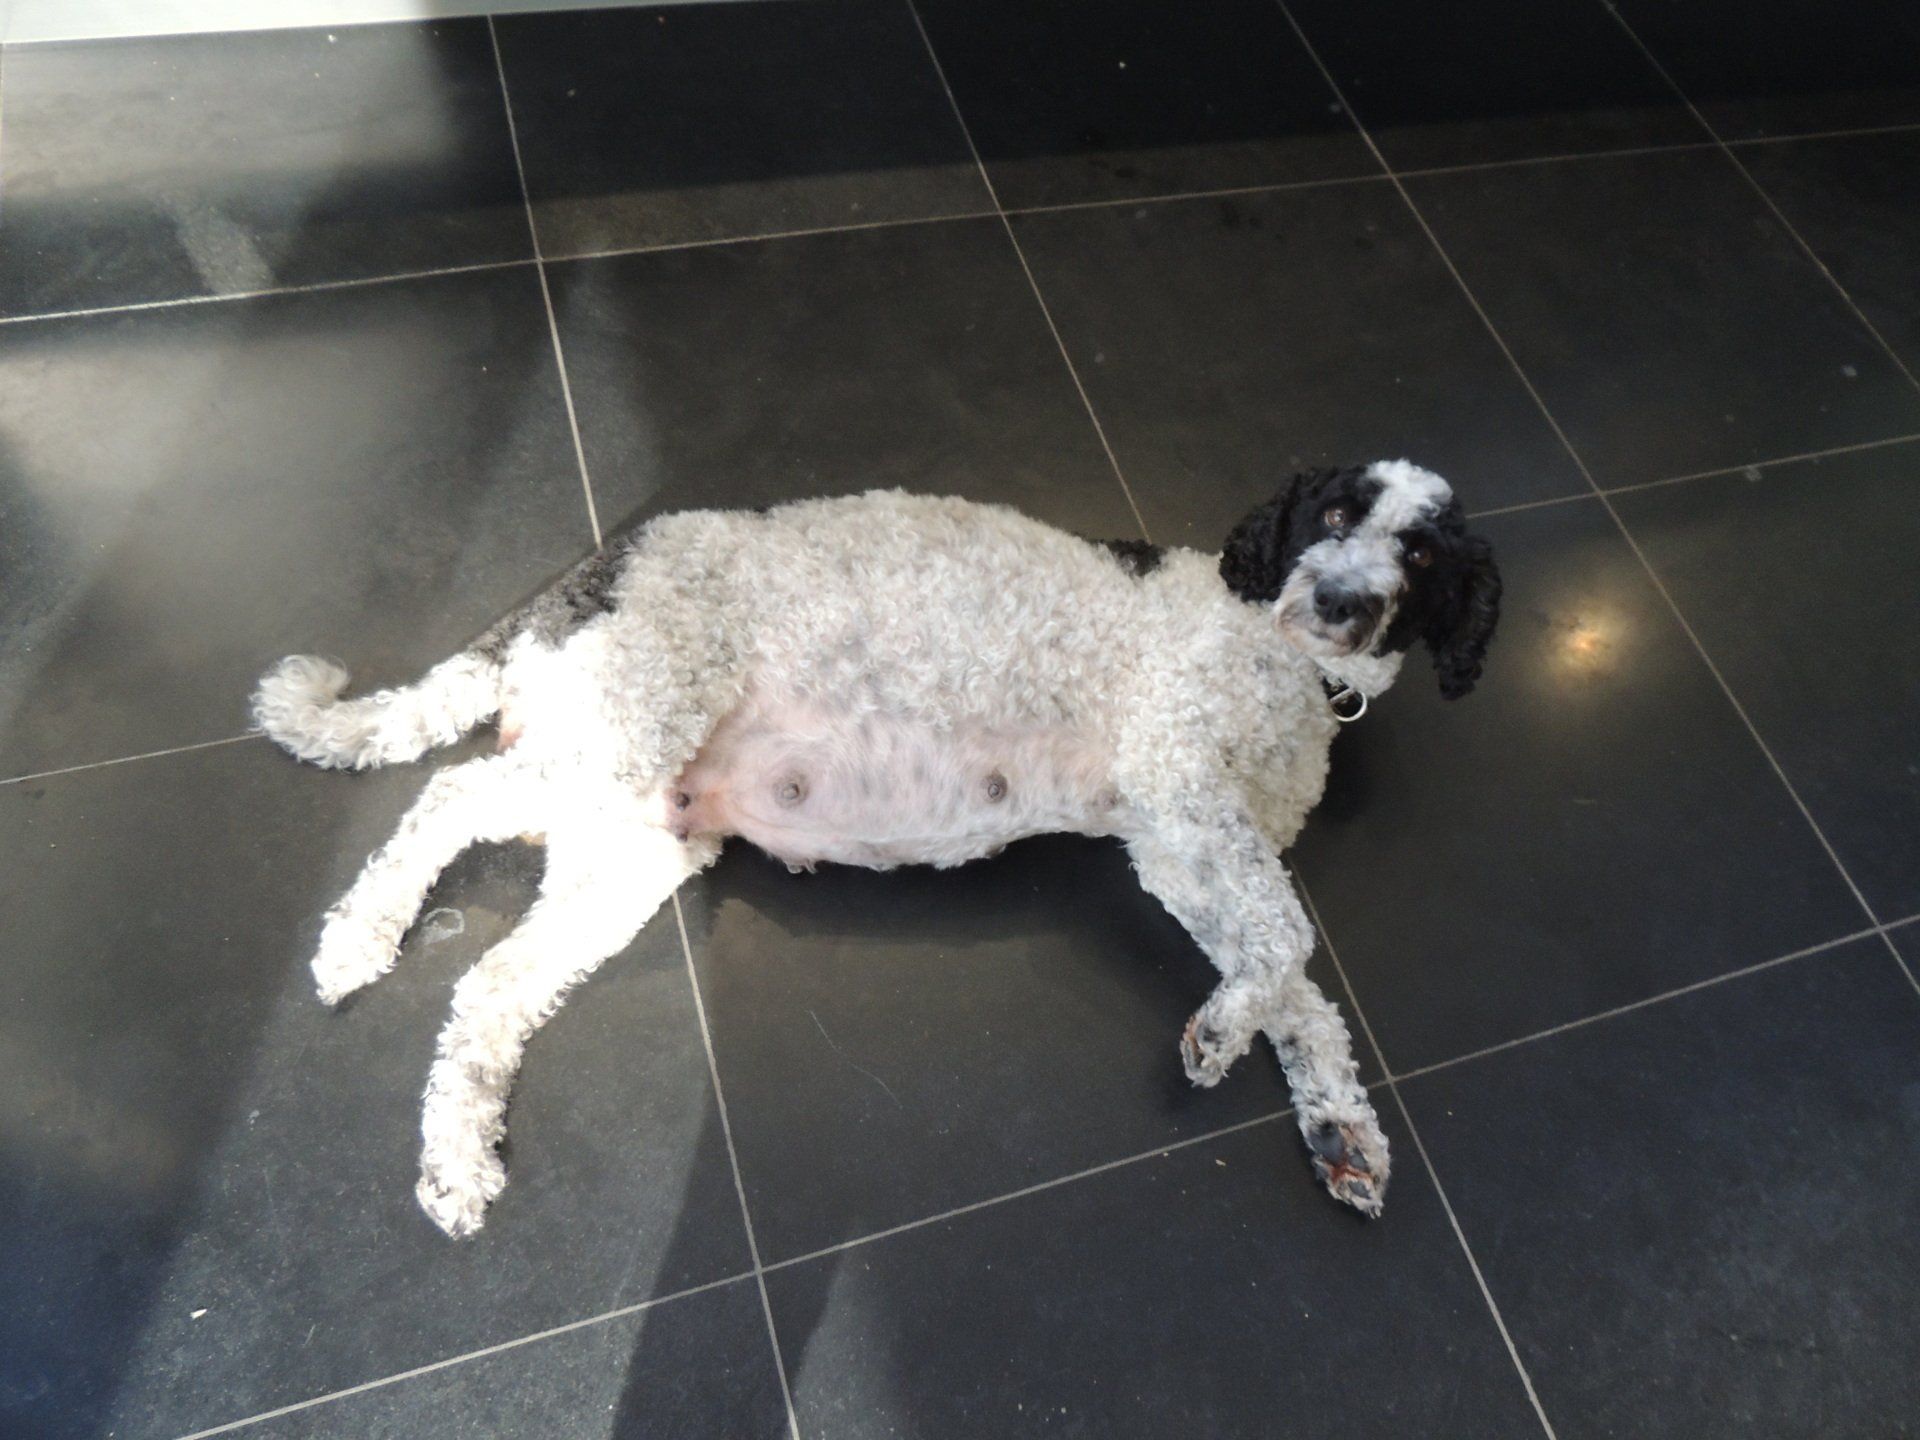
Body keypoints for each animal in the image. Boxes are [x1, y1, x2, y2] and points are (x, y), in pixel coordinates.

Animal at [254, 461, 1500, 1237]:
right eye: (1331, 516)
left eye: (1424, 559)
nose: (1338, 602)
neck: (1294, 674)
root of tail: (595, 569)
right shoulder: (1180, 787)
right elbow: (1286, 944)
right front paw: (1225, 1038)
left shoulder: (1183, 844)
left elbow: (1293, 982)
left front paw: (1335, 1120)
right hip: (619, 736)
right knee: (449, 793)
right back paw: (358, 939)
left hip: (630, 846)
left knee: (486, 989)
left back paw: (457, 1160)